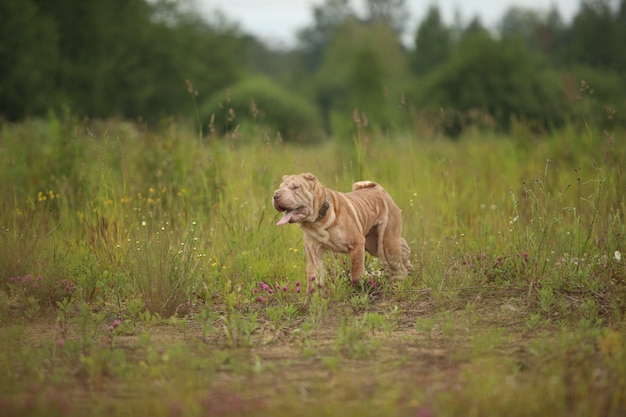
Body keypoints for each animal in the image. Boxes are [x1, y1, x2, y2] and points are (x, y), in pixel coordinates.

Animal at [272, 171, 410, 290]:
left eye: (295, 187)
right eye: (280, 187)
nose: (276, 195)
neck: (318, 220)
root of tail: (379, 189)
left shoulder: (357, 243)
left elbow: (356, 273)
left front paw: (367, 277)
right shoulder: (313, 253)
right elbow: (313, 278)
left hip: (387, 244)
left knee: (396, 264)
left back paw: (398, 281)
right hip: (374, 244)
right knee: (402, 249)